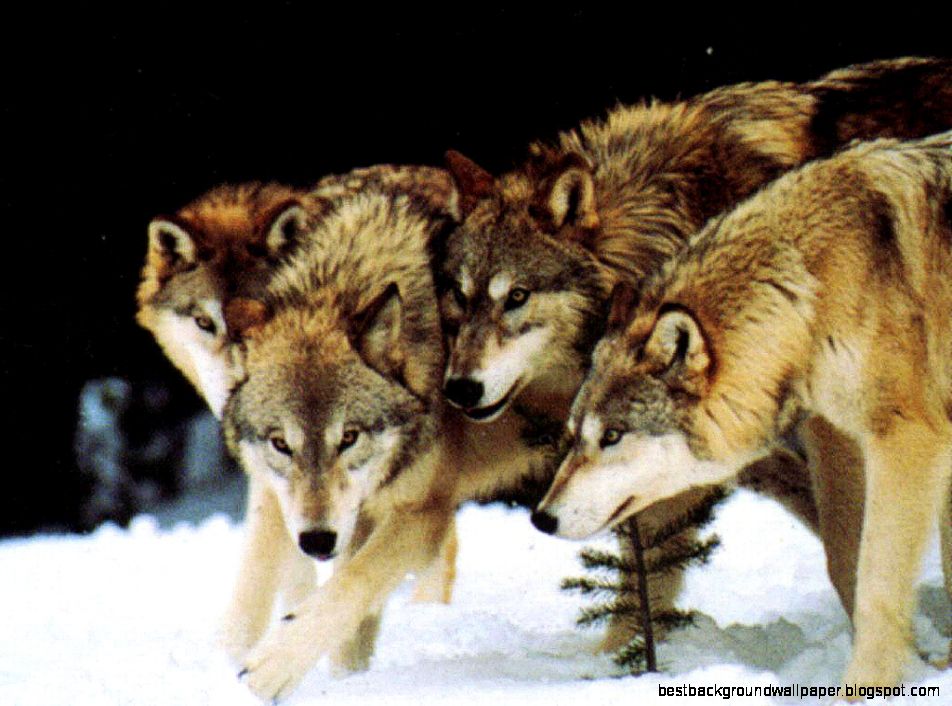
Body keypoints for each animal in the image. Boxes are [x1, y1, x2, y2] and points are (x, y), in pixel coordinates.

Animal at [439, 56, 952, 621]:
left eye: (517, 296)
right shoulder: (728, 444)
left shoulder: (828, 430)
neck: (672, 222)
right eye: (459, 296)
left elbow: (845, 553)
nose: (458, 388)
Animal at [535, 133, 952, 687]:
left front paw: (864, 688)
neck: (812, 291)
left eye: (613, 436)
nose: (541, 518)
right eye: (576, 433)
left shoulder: (907, 440)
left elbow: (876, 588)